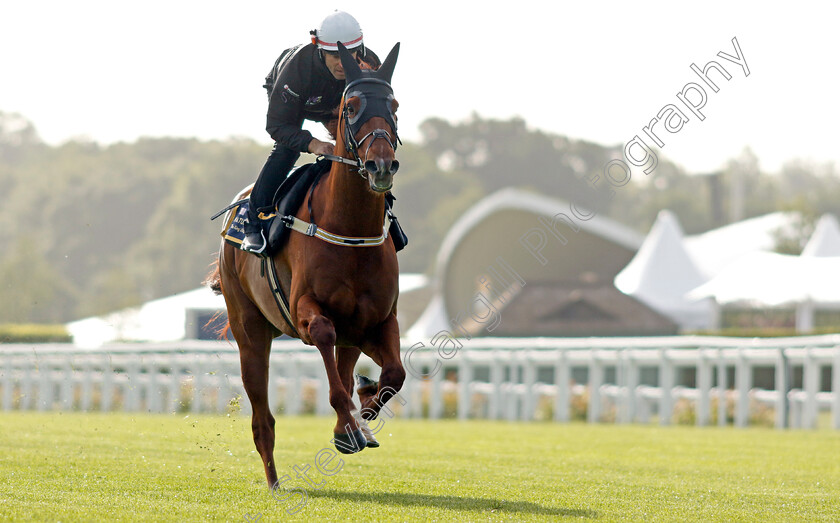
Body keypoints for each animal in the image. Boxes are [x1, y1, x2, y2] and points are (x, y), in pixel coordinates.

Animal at [210, 43, 406, 490]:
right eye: (351, 106)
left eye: (394, 105)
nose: (381, 165)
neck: (350, 230)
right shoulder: (306, 313)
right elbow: (328, 356)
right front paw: (348, 428)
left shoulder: (377, 320)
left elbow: (393, 375)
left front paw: (364, 410)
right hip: (250, 331)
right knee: (262, 418)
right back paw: (273, 481)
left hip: (349, 330)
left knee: (347, 366)